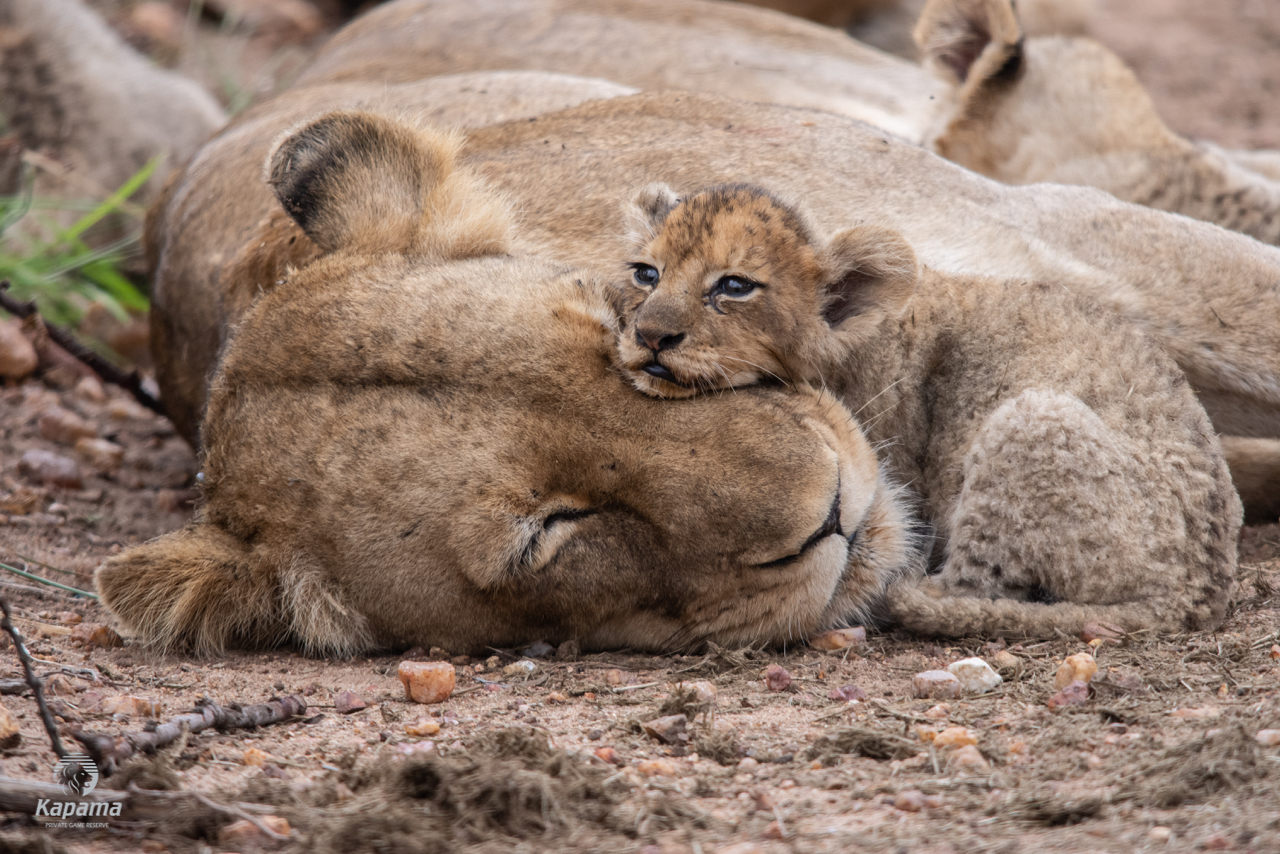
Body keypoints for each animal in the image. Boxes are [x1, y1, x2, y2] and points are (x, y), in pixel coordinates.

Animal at [607, 181, 1240, 636]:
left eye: (735, 286)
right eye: (647, 274)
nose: (651, 336)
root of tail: (1200, 593)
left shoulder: (893, 466)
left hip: (1030, 420)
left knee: (977, 587)